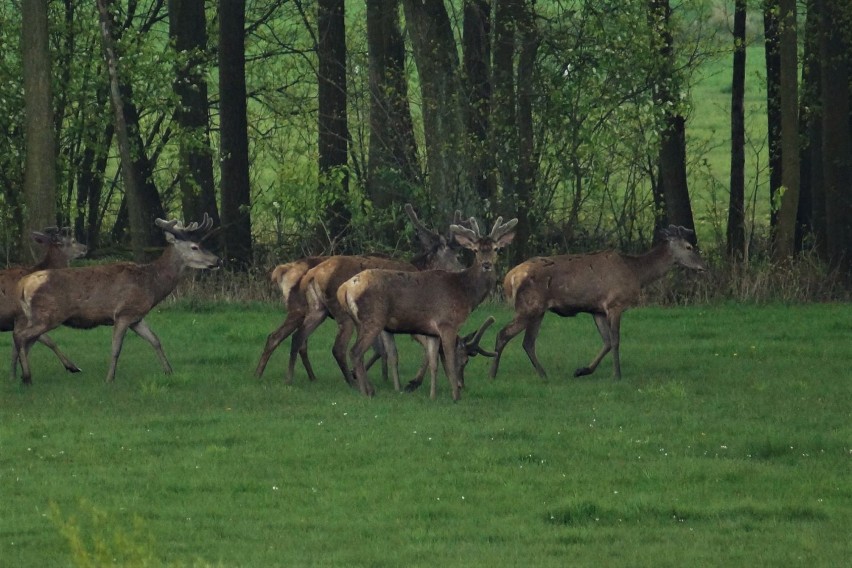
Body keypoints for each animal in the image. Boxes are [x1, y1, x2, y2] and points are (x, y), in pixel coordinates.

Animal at [1, 226, 88, 378]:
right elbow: (40, 342)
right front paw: (14, 375)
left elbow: (45, 341)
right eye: (73, 240)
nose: (86, 247)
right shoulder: (21, 317)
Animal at [11, 215, 221, 384]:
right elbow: (116, 348)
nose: (218, 260)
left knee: (26, 339)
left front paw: (169, 371)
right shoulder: (123, 312)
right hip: (48, 314)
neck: (151, 284)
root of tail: (23, 285)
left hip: (36, 316)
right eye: (195, 246)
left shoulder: (137, 317)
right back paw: (27, 377)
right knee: (22, 336)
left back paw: (19, 375)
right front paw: (110, 378)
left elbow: (155, 340)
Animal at [272, 204, 470, 390]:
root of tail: (281, 271)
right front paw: (409, 382)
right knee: (324, 345)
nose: (462, 271)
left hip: (316, 310)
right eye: (454, 256)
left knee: (295, 339)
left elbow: (383, 350)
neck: (420, 268)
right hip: (319, 310)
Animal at [336, 215, 516, 402]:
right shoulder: (447, 323)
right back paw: (366, 392)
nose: (486, 264)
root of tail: (344, 288)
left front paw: (432, 395)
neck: (465, 293)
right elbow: (449, 359)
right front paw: (455, 396)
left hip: (360, 321)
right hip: (373, 318)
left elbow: (433, 361)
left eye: (496, 249)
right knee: (355, 351)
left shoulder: (432, 332)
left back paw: (367, 388)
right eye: (475, 250)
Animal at [490, 223, 708, 382]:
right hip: (529, 306)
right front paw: (617, 375)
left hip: (538, 310)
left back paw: (543, 375)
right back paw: (493, 373)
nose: (703, 266)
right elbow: (616, 341)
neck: (636, 273)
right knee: (503, 334)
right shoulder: (615, 304)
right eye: (689, 247)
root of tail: (509, 278)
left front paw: (582, 370)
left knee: (528, 342)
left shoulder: (598, 310)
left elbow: (607, 342)